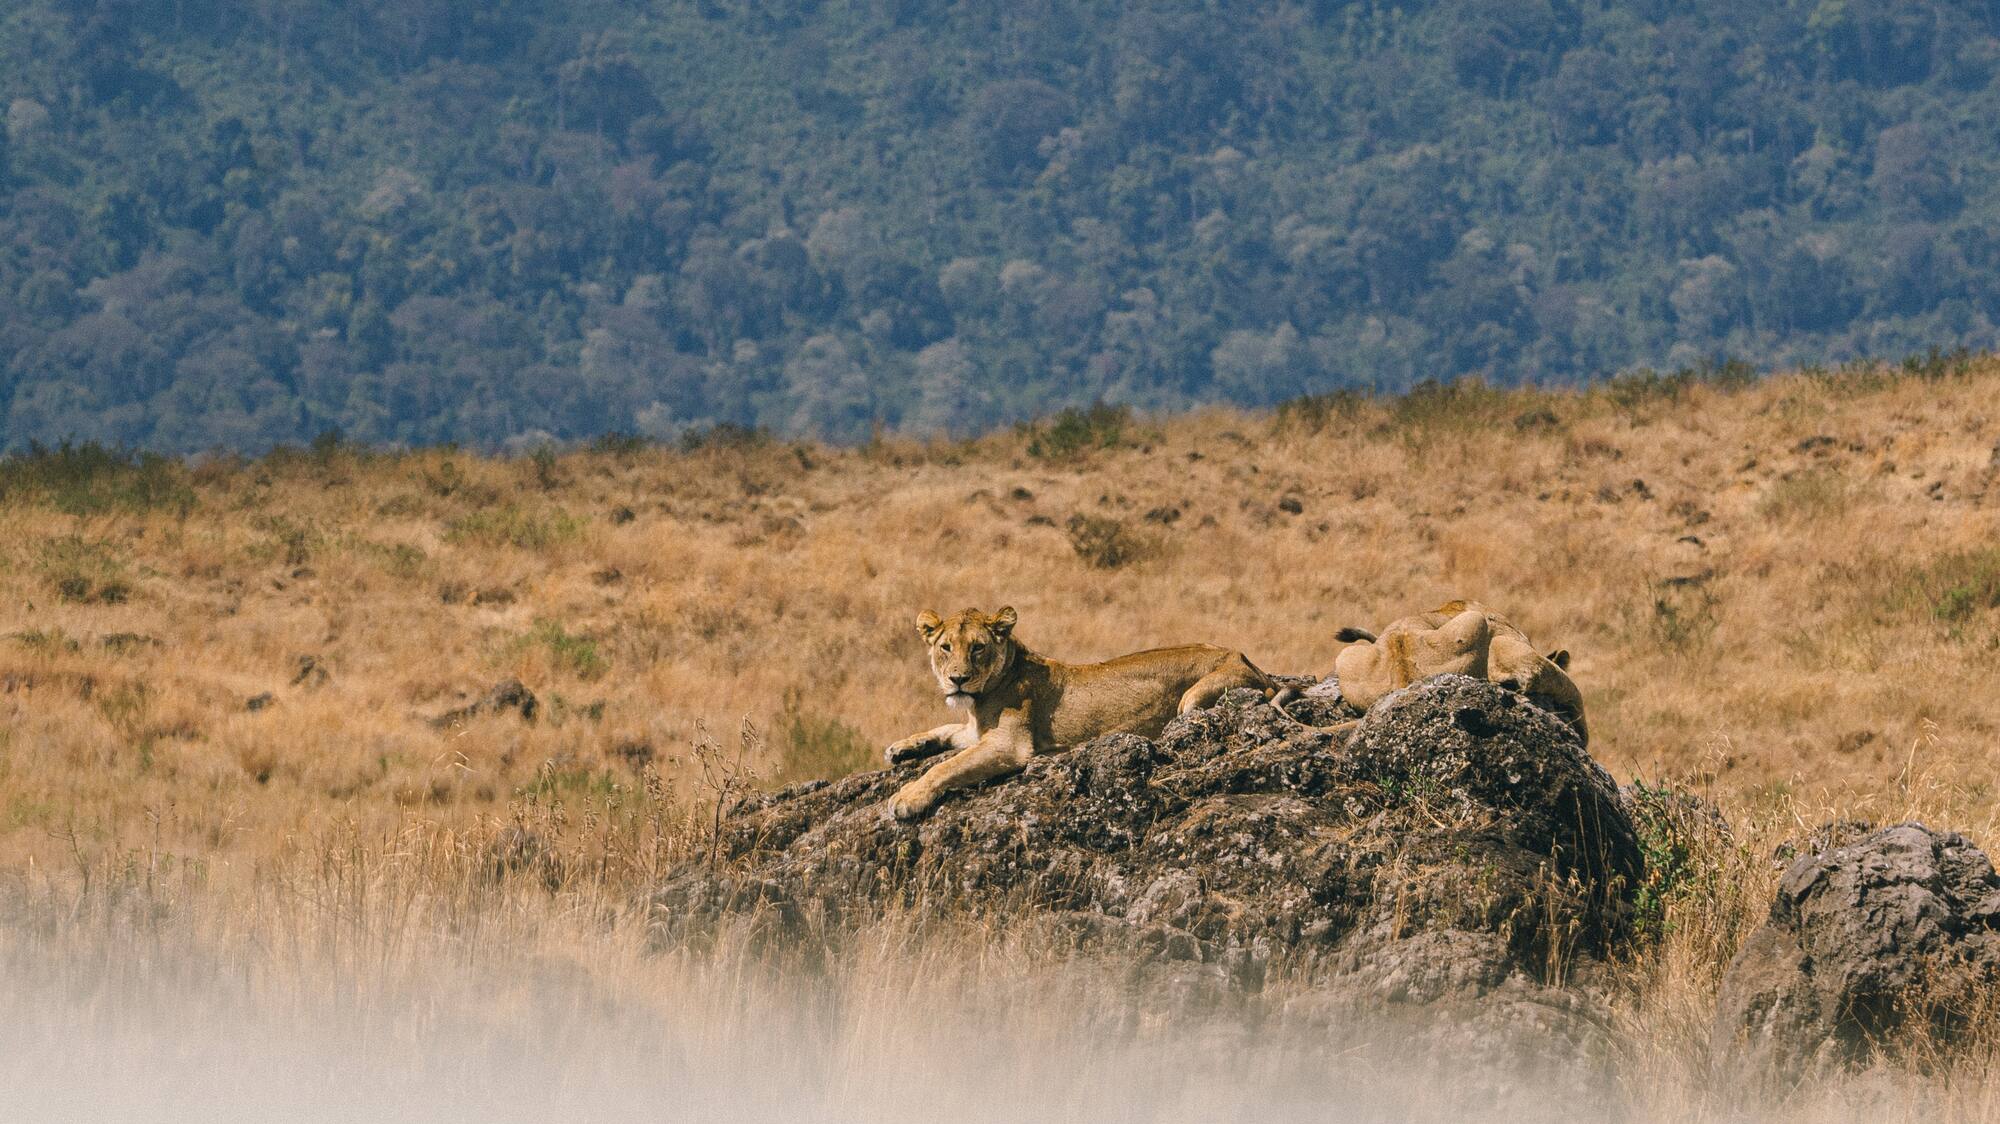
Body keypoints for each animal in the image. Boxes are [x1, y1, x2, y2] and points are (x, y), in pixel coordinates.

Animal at [884, 606, 1286, 821]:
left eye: (978, 648)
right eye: (946, 647)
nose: (958, 680)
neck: (981, 696)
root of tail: (1246, 659)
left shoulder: (1009, 744)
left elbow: (946, 766)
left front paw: (907, 797)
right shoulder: (977, 731)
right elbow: (945, 729)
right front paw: (901, 747)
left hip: (1193, 698)